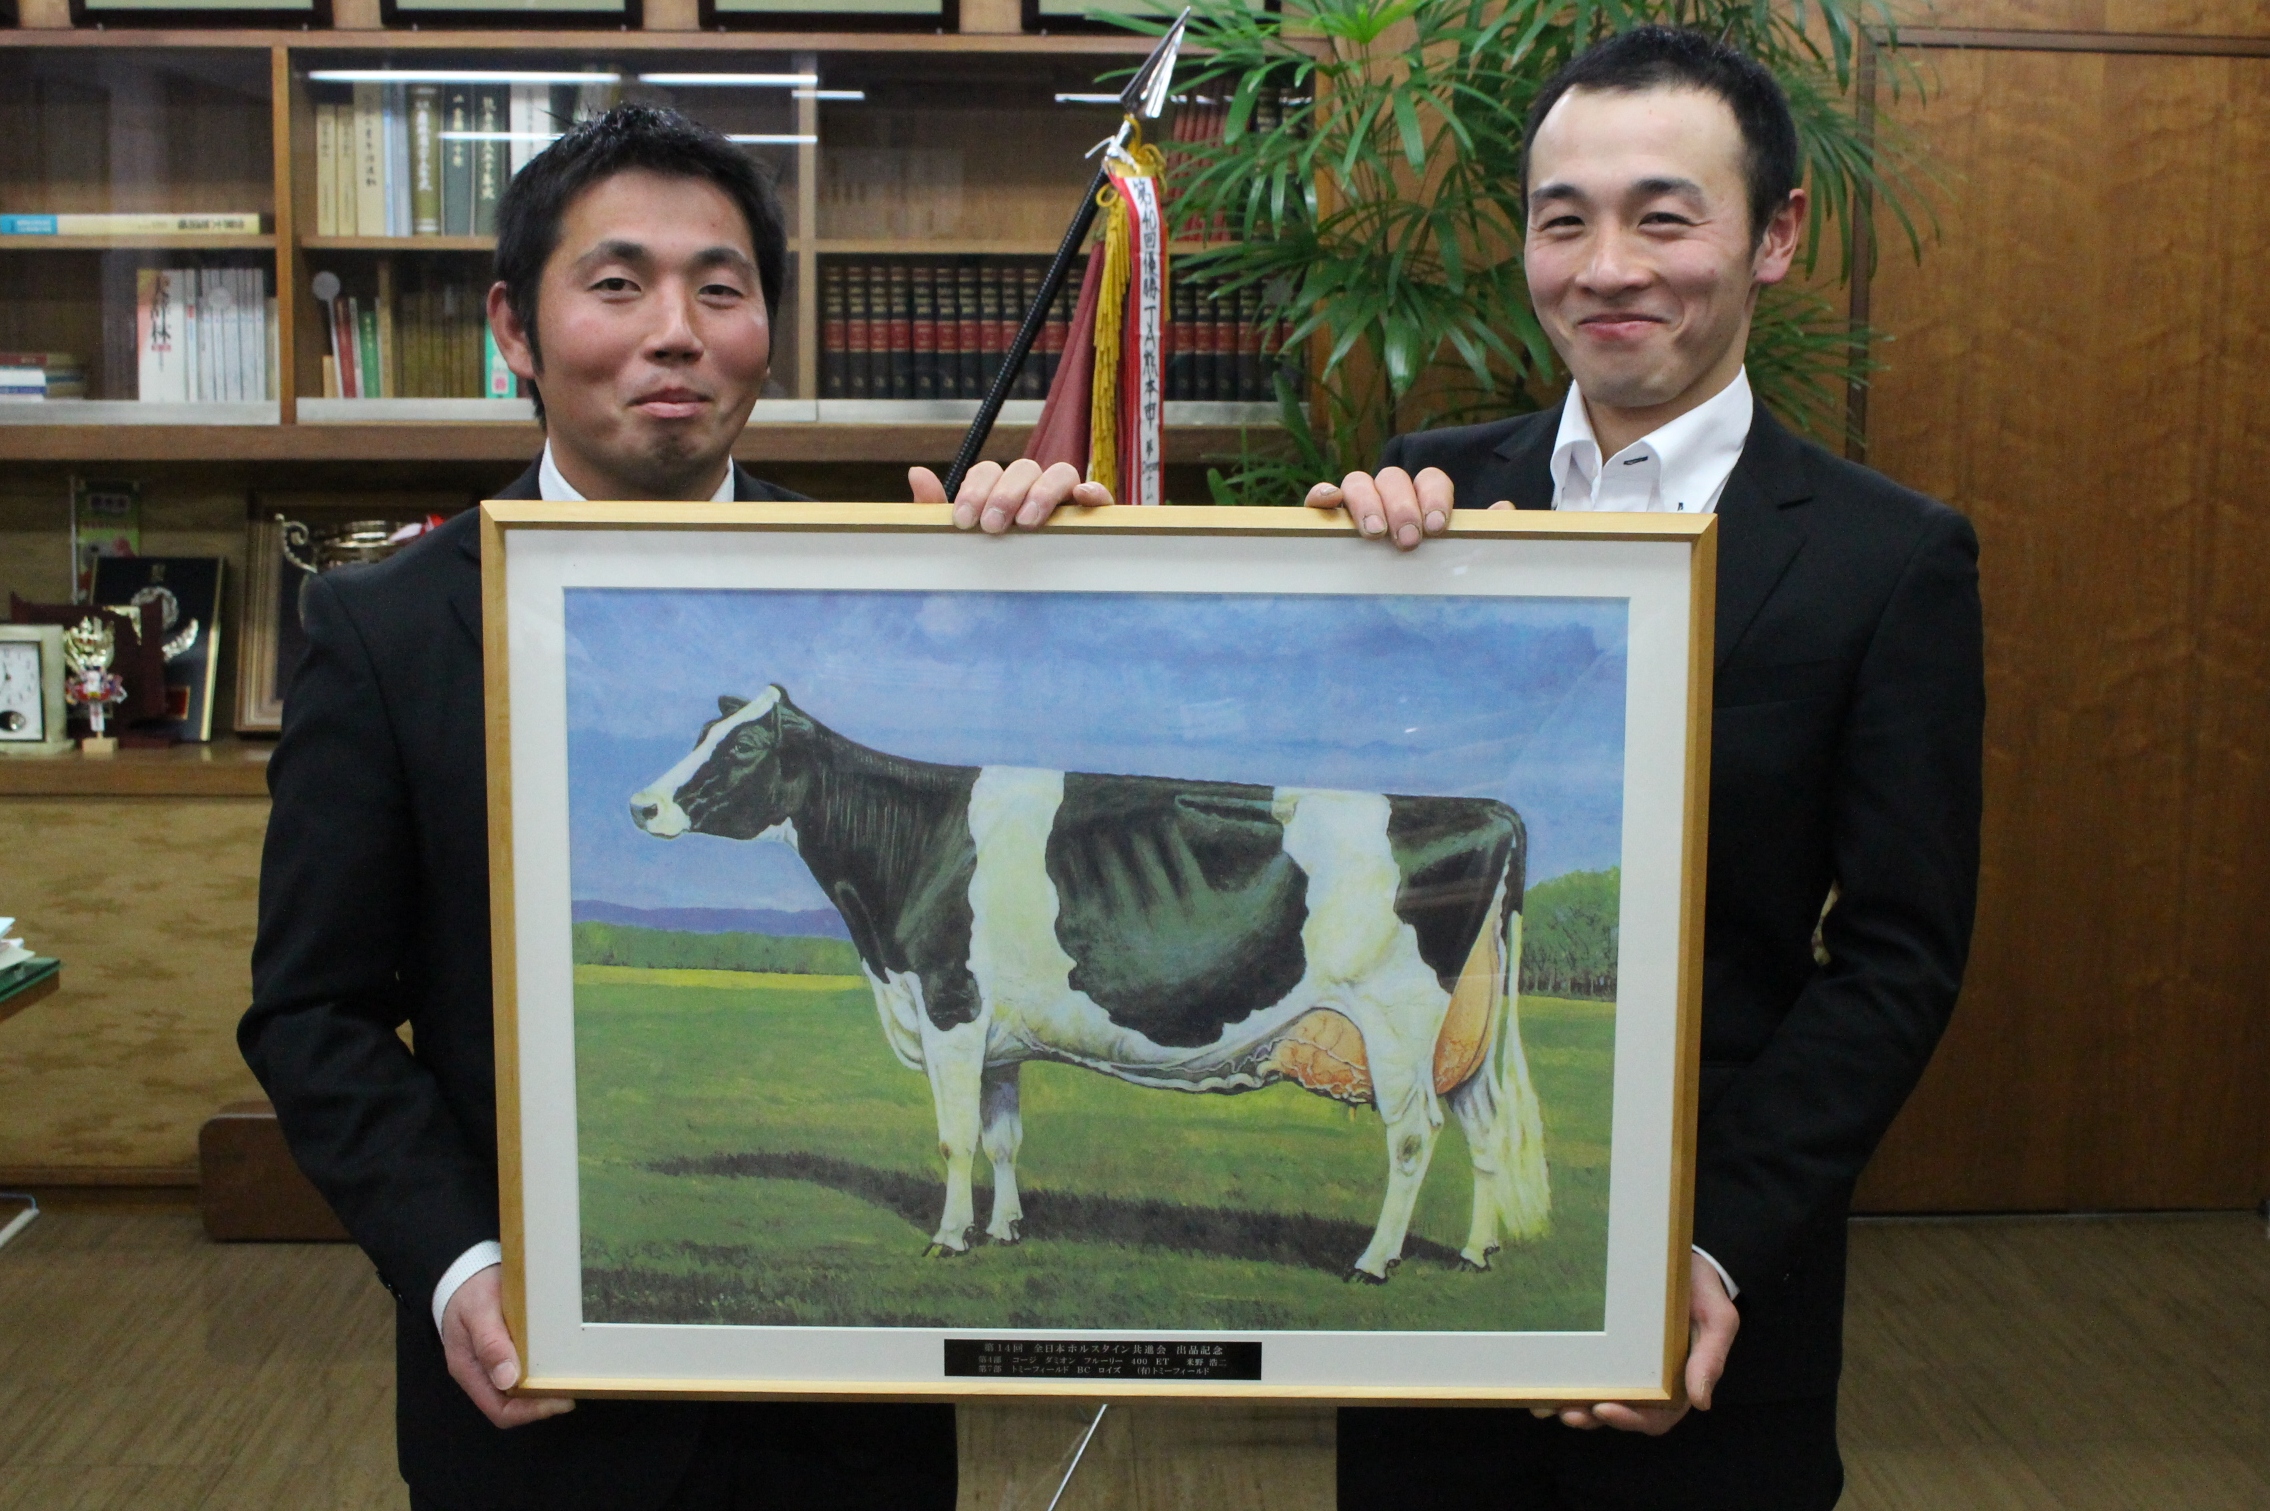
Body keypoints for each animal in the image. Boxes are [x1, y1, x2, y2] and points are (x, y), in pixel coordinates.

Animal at [628, 684, 1550, 1281]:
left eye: (742, 745)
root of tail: (1488, 809)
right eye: (702, 731)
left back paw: (1373, 1260)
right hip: (1459, 1033)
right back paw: (1475, 1251)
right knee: (1481, 1126)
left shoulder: (950, 1003)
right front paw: (1005, 1227)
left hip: (1397, 1017)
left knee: (1414, 1134)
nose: (641, 805)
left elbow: (954, 1137)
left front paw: (949, 1237)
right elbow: (1002, 1135)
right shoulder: (996, 1036)